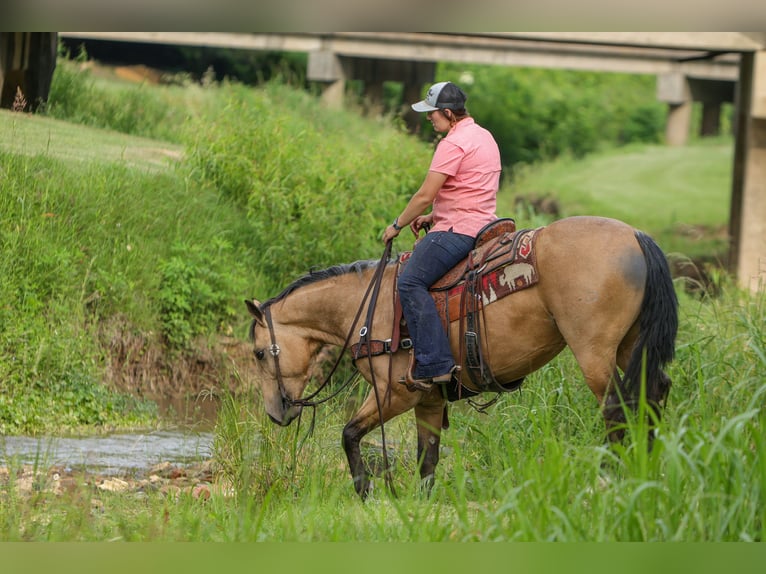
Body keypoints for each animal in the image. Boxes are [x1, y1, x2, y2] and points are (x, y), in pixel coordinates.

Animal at [245, 215, 679, 499]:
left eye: (260, 353)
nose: (275, 414)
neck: (367, 307)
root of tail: (635, 236)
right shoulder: (428, 399)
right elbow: (427, 458)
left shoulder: (394, 392)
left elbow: (349, 433)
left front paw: (365, 489)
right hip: (630, 345)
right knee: (653, 394)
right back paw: (647, 467)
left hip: (593, 350)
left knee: (617, 408)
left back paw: (611, 476)